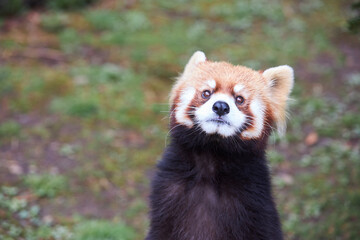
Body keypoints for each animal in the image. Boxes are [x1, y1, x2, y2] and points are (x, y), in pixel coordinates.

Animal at [147, 51, 296, 240]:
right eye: (206, 93)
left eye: (239, 99)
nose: (221, 106)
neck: (212, 157)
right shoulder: (167, 195)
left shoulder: (256, 206)